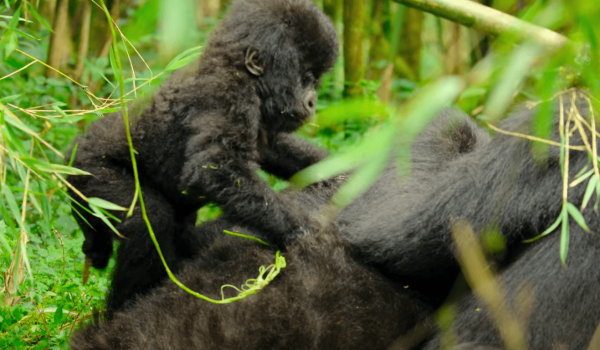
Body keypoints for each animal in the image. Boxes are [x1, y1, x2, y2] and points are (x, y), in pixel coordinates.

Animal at [68, 0, 338, 308]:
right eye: (307, 79)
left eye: (315, 81)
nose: (312, 102)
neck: (237, 69)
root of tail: (72, 150)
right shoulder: (226, 92)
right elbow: (213, 168)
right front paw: (303, 231)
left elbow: (273, 148)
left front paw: (338, 168)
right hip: (89, 171)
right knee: (149, 218)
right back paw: (120, 307)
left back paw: (94, 242)